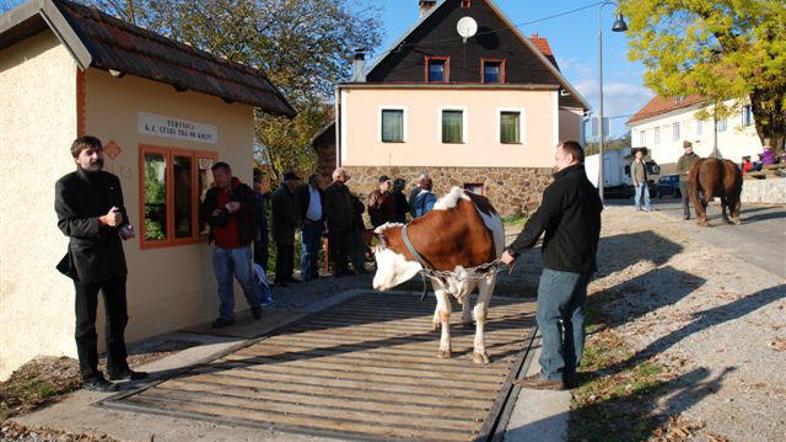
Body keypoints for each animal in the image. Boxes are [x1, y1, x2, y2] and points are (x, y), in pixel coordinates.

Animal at [372, 186, 502, 362]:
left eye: (378, 255)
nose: (374, 283)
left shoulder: (489, 273)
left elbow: (481, 313)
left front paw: (480, 351)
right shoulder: (436, 276)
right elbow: (444, 311)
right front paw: (445, 347)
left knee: (466, 296)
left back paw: (467, 318)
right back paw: (438, 320)